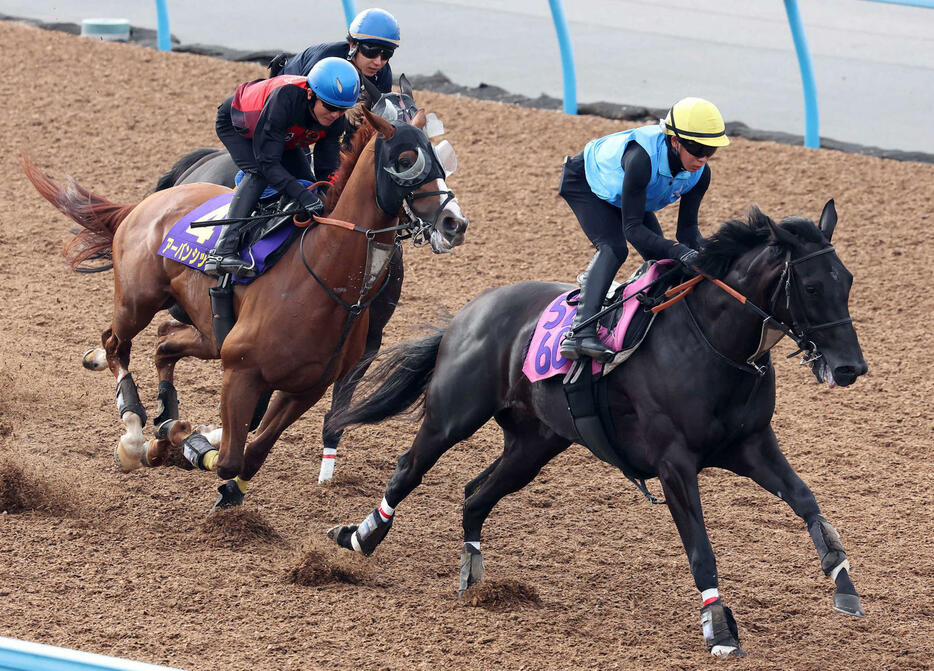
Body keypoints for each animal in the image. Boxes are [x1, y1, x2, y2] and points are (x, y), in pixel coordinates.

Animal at [25, 107, 472, 510]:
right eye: (405, 161)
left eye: (440, 161)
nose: (454, 223)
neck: (324, 280)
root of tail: (150, 201)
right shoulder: (242, 371)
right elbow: (227, 460)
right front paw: (181, 442)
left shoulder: (306, 386)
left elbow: (253, 455)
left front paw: (190, 451)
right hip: (138, 301)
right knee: (116, 344)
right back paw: (135, 435)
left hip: (208, 333)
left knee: (165, 342)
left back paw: (164, 416)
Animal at [328, 202, 872, 660]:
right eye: (811, 287)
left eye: (846, 281)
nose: (851, 367)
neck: (713, 344)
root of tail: (471, 311)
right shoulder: (674, 464)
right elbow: (700, 548)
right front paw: (719, 628)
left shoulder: (752, 445)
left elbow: (805, 500)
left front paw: (843, 582)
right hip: (453, 416)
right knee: (409, 469)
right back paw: (361, 536)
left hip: (535, 443)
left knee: (476, 494)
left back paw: (473, 577)